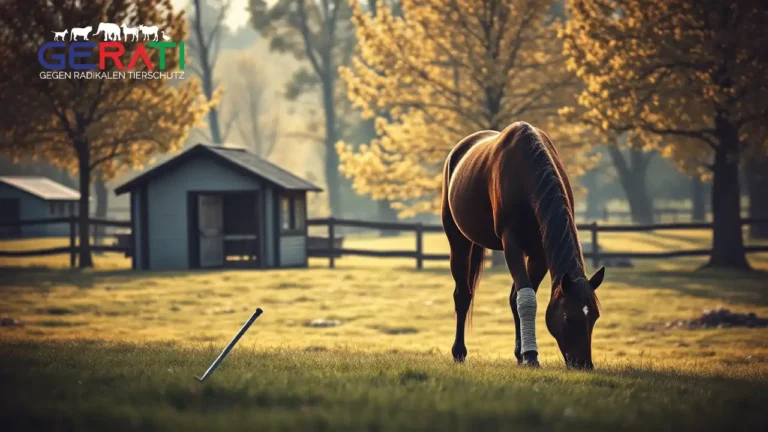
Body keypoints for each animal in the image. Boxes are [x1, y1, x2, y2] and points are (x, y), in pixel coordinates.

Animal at [442, 121, 605, 369]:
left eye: (594, 316)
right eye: (568, 318)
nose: (583, 364)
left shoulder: (540, 253)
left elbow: (522, 297)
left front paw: (523, 355)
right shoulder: (512, 244)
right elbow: (526, 298)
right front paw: (531, 355)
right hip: (458, 240)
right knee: (462, 294)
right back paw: (459, 352)